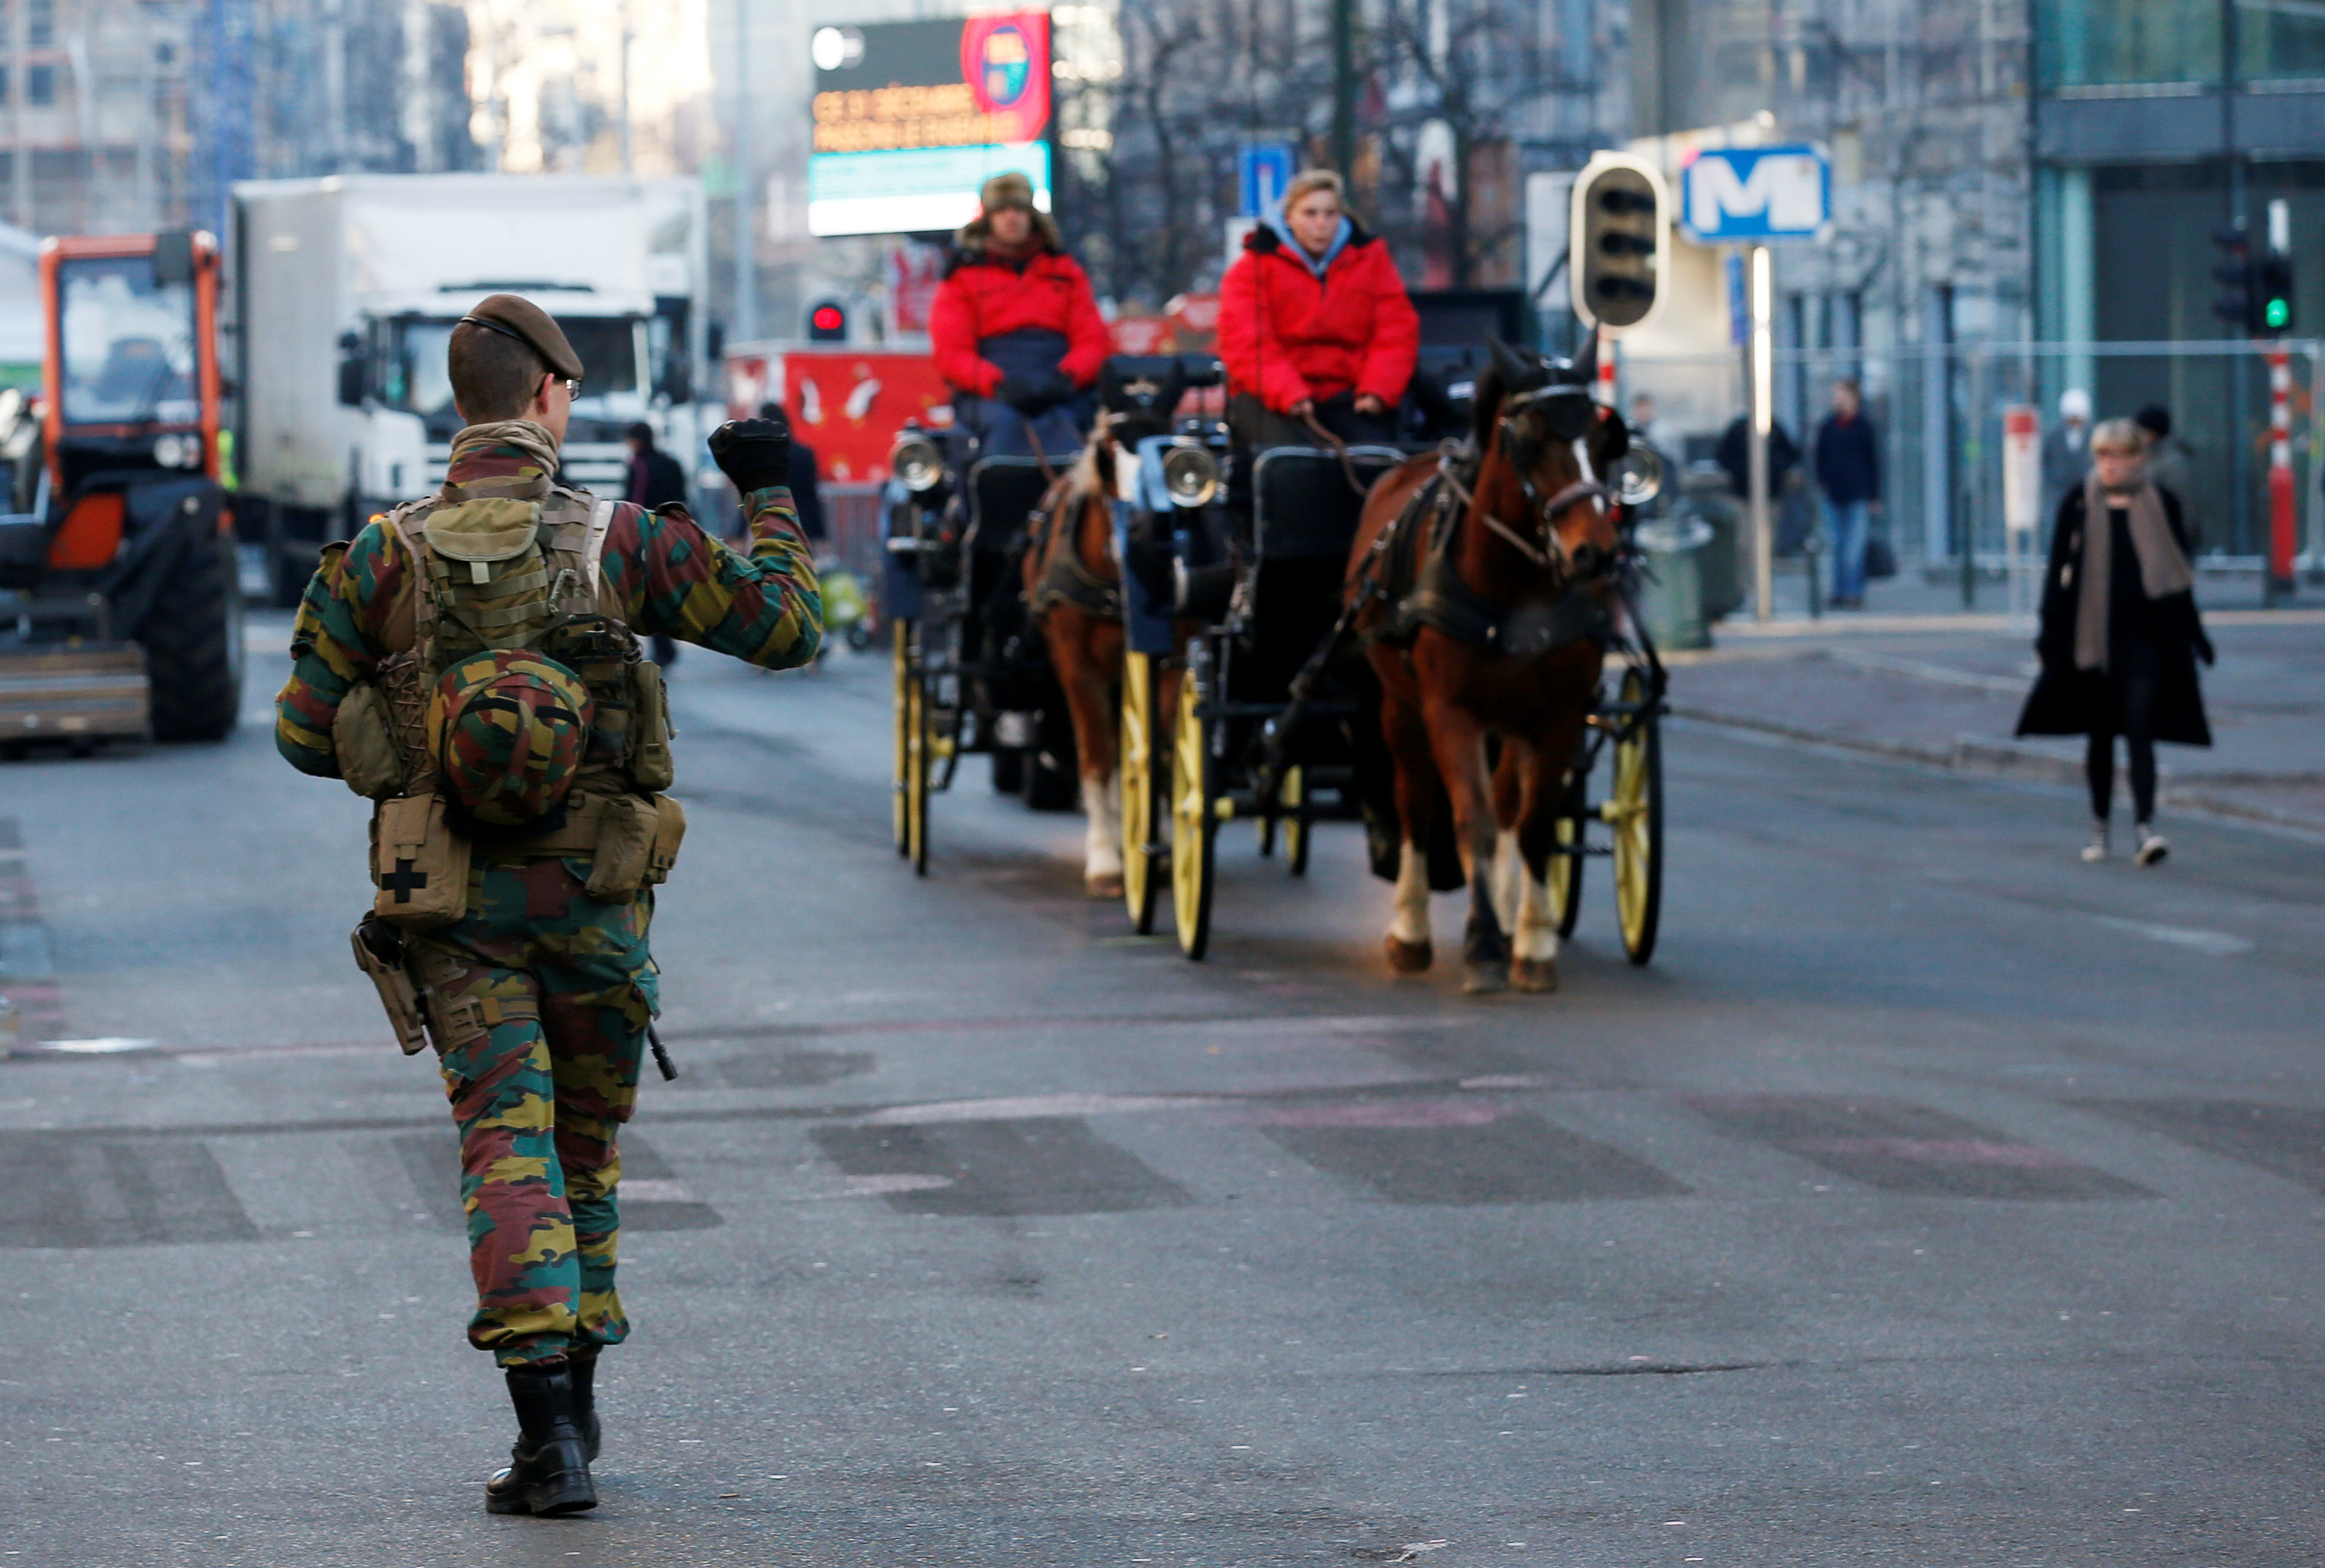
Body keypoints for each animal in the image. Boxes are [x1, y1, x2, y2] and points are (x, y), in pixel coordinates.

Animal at [1348, 342, 1636, 991]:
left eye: (1601, 440)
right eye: (1531, 438)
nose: (1596, 553)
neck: (1515, 592)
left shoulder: (1558, 717)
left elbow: (1532, 825)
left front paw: (1530, 944)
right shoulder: (1450, 711)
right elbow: (1471, 822)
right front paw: (1481, 948)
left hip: (1512, 720)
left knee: (1509, 805)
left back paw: (1507, 919)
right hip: (1402, 708)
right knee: (1415, 803)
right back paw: (1412, 932)